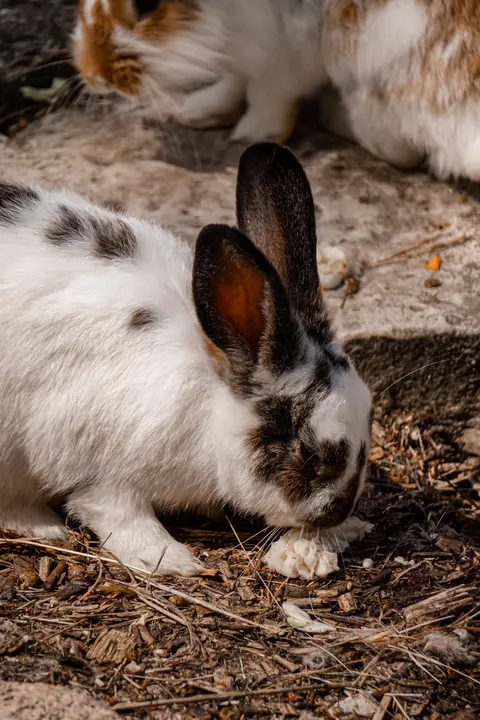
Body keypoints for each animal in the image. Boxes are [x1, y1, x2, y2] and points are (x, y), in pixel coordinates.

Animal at [0, 142, 372, 576]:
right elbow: (118, 514)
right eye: (306, 453)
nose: (338, 511)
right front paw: (170, 559)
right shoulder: (102, 472)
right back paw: (44, 526)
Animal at [72, 0, 328, 143]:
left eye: (147, 3)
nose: (94, 76)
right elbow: (235, 79)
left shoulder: (286, 44)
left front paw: (255, 134)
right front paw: (192, 112)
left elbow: (269, 90)